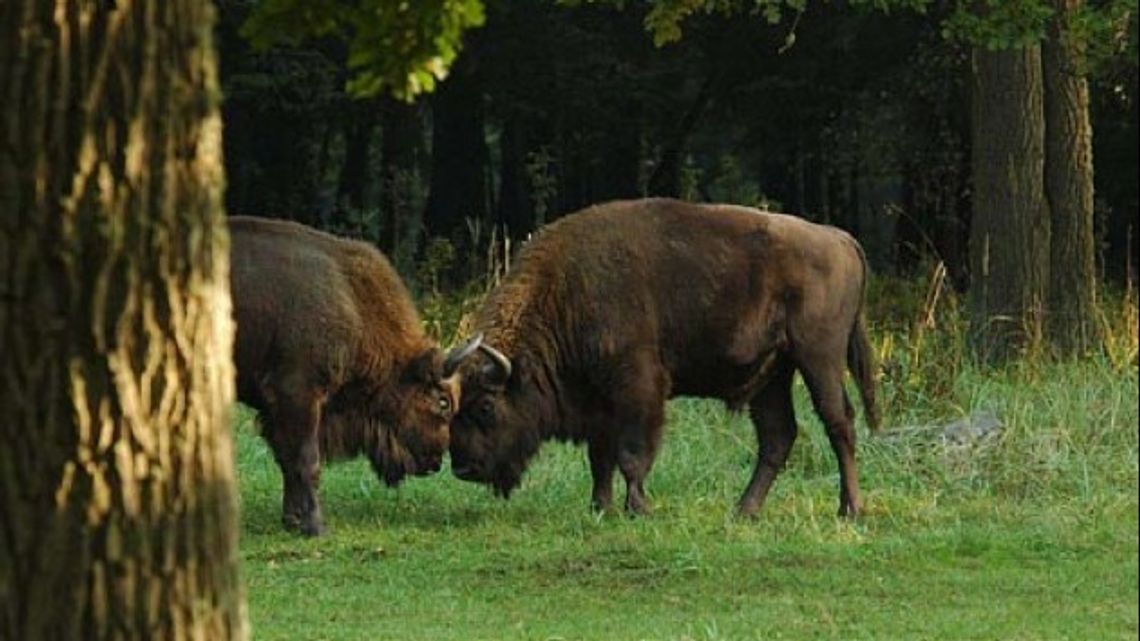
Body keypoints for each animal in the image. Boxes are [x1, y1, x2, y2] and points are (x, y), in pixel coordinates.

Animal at [231, 216, 481, 531]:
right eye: (443, 401)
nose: (436, 461)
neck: (351, 298)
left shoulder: (277, 411)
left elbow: (287, 460)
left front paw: (292, 520)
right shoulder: (298, 396)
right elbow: (306, 461)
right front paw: (315, 526)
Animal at [449, 197, 875, 515]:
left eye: (485, 405)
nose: (462, 467)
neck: (565, 295)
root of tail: (839, 238)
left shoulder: (639, 388)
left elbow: (631, 454)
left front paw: (638, 507)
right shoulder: (598, 403)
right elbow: (600, 458)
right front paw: (599, 508)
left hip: (818, 358)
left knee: (839, 423)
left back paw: (849, 509)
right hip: (772, 374)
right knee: (778, 435)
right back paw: (744, 511)